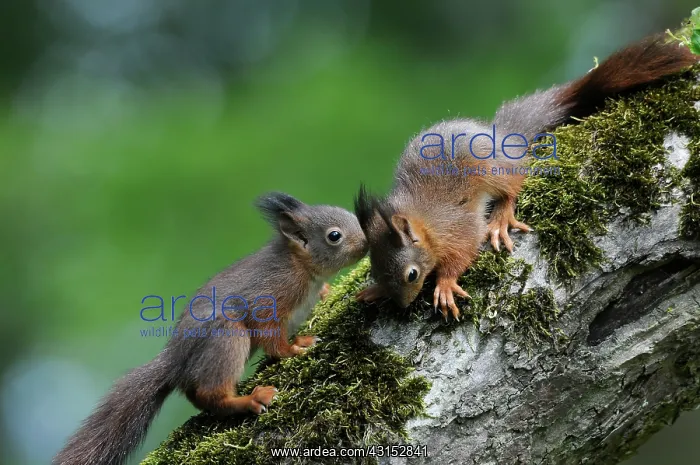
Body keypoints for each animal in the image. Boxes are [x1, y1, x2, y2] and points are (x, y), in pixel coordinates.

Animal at [53, 192, 368, 465]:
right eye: (334, 236)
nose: (367, 242)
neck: (301, 266)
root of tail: (174, 360)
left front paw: (327, 292)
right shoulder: (272, 294)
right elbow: (270, 334)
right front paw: (293, 348)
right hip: (226, 337)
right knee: (210, 394)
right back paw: (249, 400)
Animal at [354, 33, 699, 320]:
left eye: (412, 274)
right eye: (376, 270)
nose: (403, 305)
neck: (423, 222)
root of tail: (503, 137)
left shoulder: (457, 227)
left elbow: (464, 250)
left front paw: (446, 283)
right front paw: (375, 291)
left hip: (494, 171)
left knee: (513, 184)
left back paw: (501, 218)